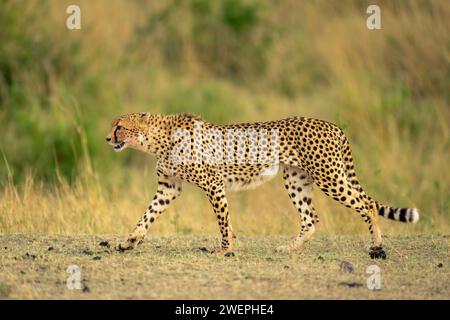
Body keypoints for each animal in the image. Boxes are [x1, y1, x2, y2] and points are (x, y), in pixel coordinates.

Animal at [105, 114, 418, 258]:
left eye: (119, 126)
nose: (107, 138)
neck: (156, 139)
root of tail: (332, 125)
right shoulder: (169, 188)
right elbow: (147, 216)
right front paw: (129, 241)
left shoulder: (213, 184)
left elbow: (223, 219)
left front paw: (225, 248)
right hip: (296, 179)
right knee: (311, 219)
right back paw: (289, 248)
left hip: (329, 177)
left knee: (366, 204)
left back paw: (376, 245)